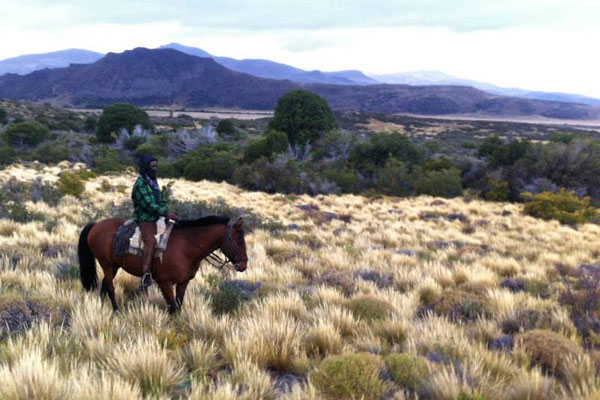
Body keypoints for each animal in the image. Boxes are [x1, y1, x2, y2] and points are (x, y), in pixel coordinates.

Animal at [78, 216, 247, 312]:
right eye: (239, 241)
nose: (244, 265)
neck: (186, 246)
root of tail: (96, 225)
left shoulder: (183, 282)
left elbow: (178, 305)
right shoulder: (165, 282)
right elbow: (172, 307)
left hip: (114, 266)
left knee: (104, 285)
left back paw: (101, 307)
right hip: (106, 264)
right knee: (110, 288)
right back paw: (116, 311)